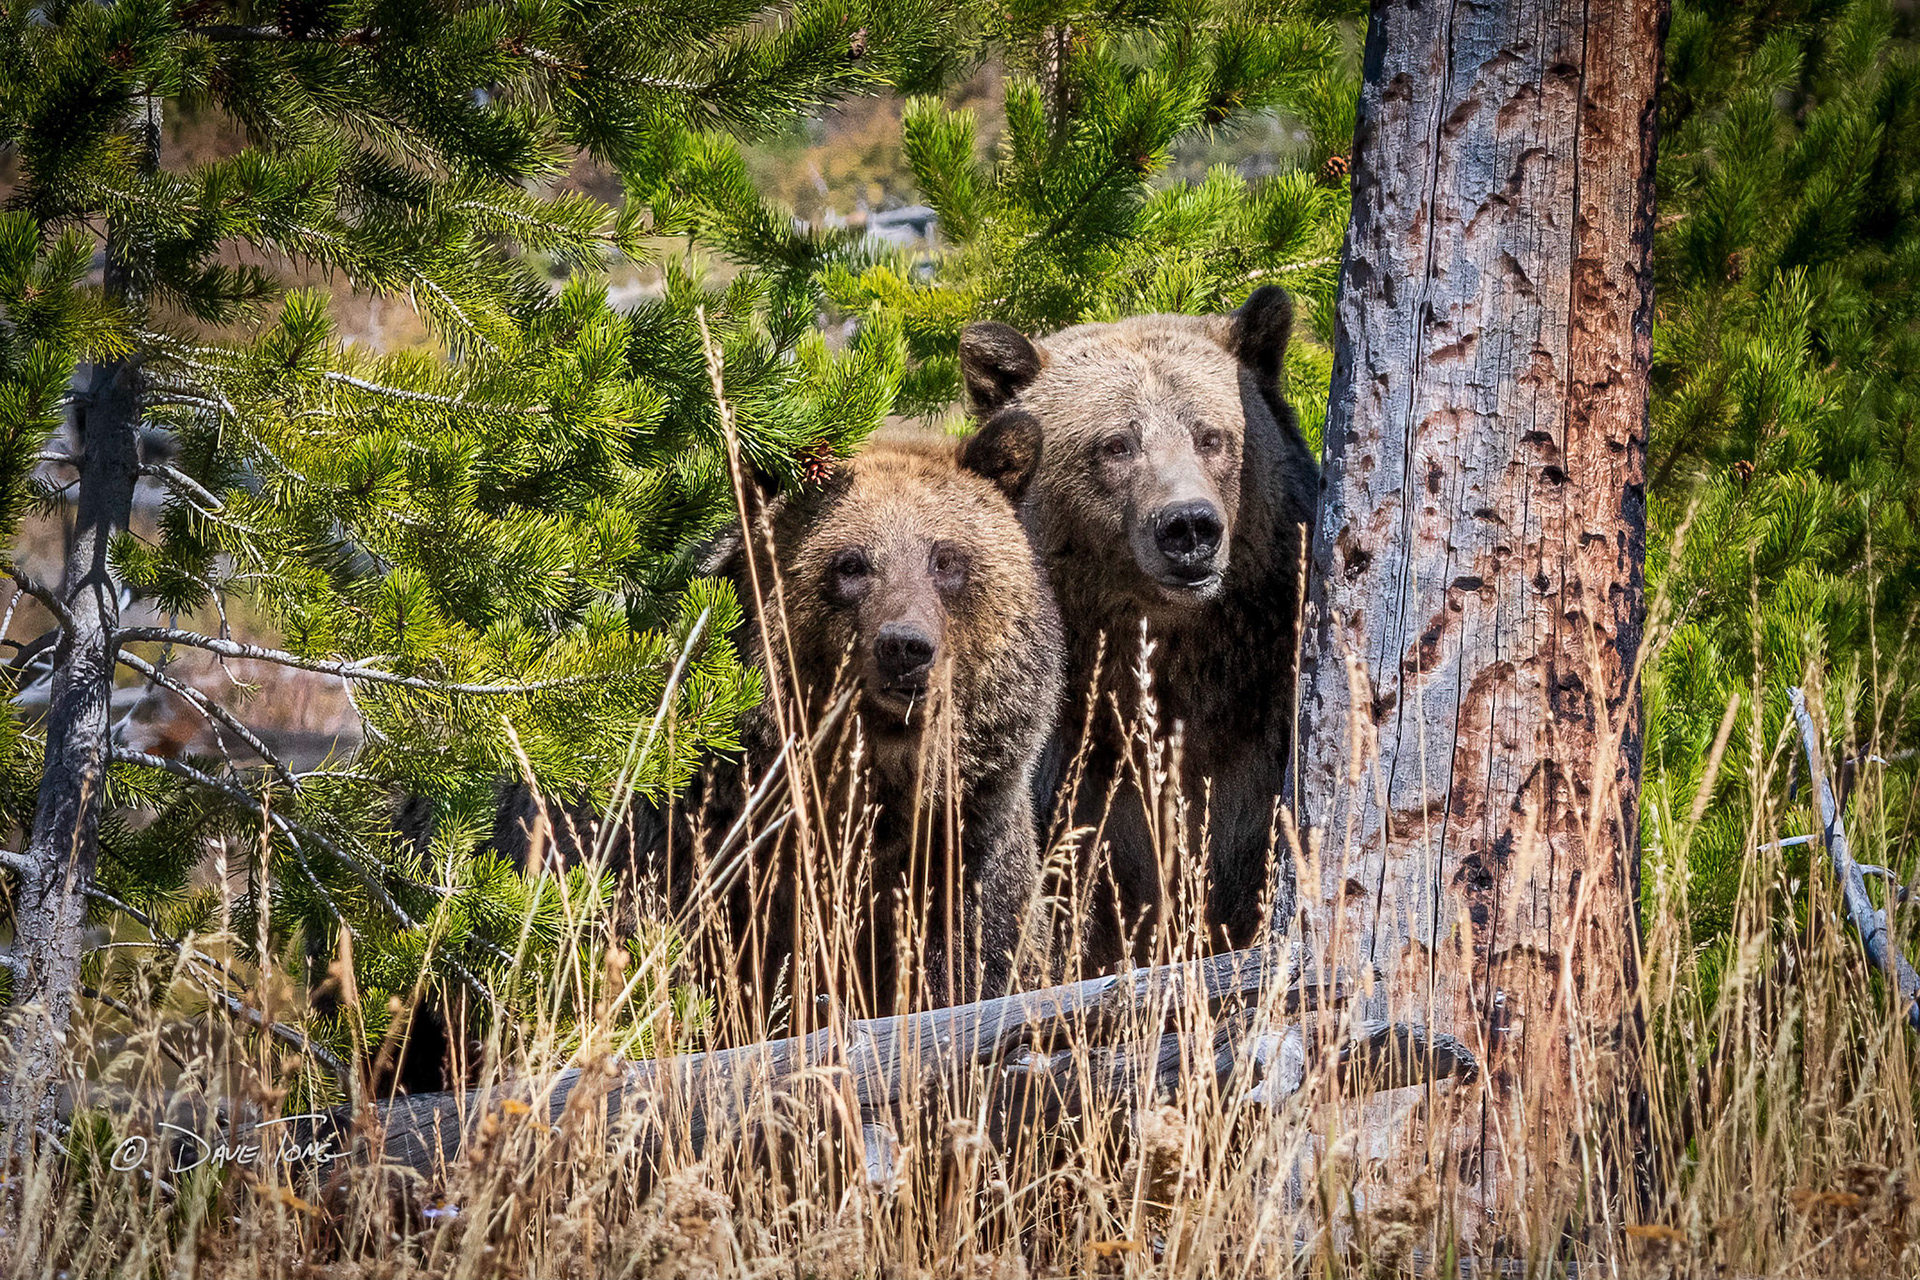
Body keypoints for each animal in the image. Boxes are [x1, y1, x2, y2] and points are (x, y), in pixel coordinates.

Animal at [662, 437, 1064, 1025]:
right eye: (851, 563)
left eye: (947, 559)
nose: (906, 647)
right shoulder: (722, 858)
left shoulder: (968, 860)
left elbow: (978, 965)